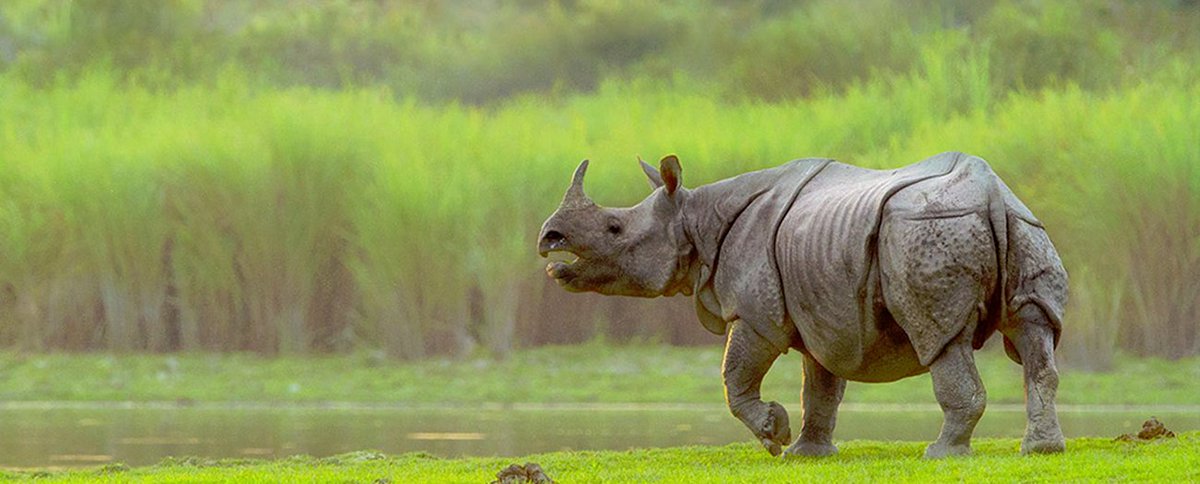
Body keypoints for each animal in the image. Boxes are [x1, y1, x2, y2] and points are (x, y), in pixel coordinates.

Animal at [537, 152, 1068, 458]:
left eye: (614, 229)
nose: (549, 239)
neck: (694, 216)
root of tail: (990, 194)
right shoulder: (823, 308)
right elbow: (820, 385)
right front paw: (806, 453)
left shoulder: (755, 311)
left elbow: (735, 375)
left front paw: (773, 435)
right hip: (1025, 226)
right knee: (1034, 332)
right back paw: (1041, 450)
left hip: (925, 230)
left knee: (938, 336)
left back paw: (941, 454)